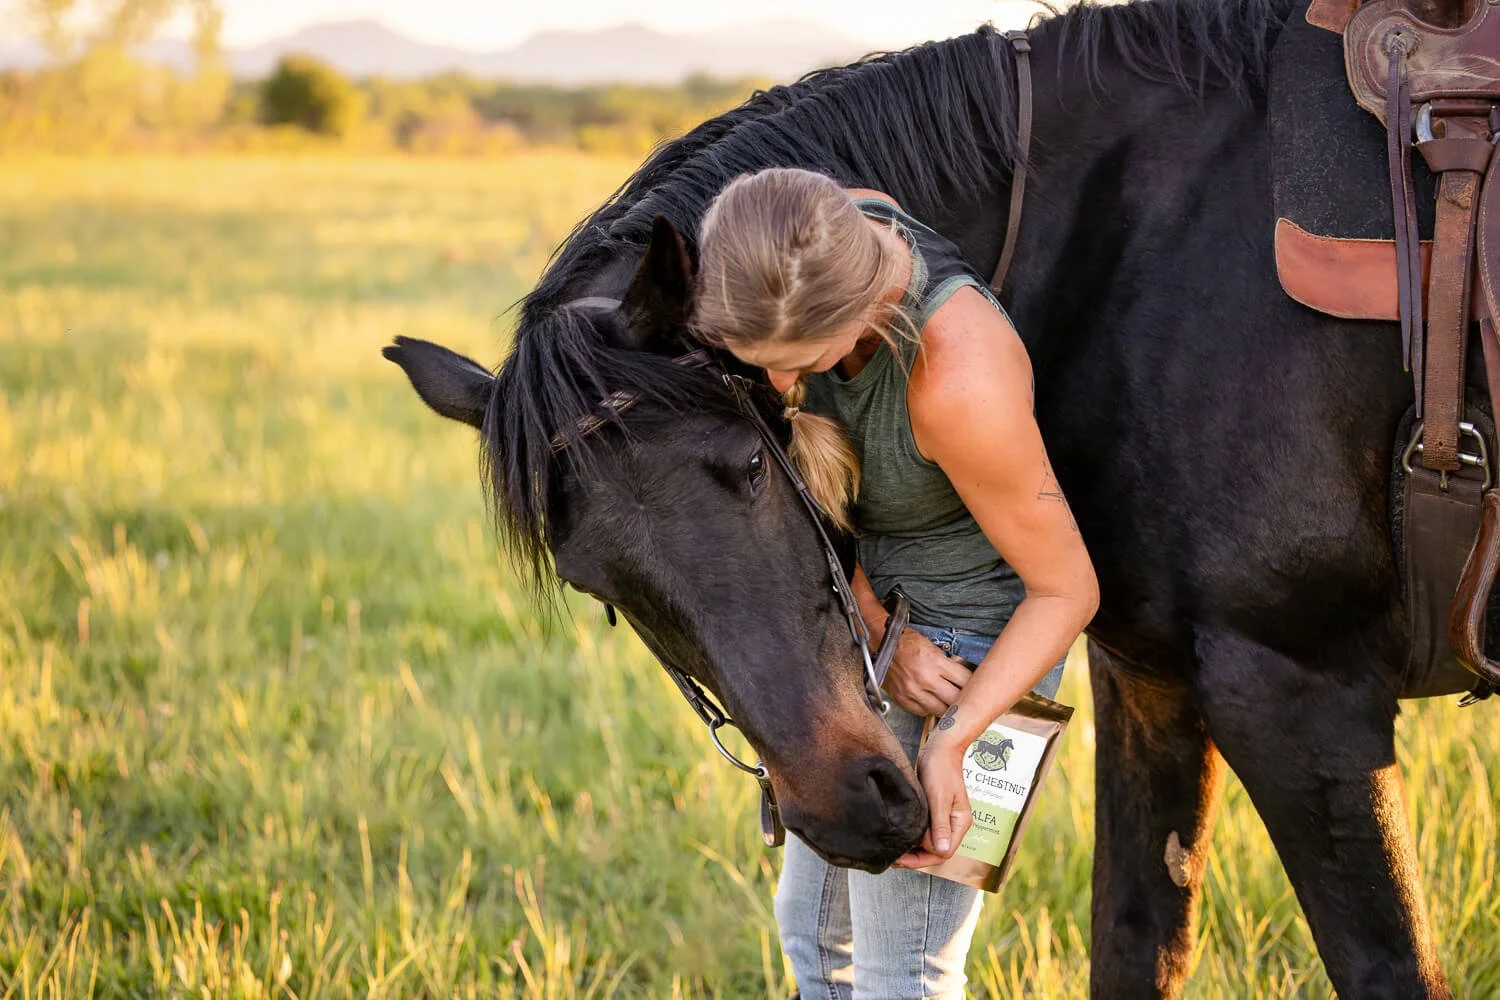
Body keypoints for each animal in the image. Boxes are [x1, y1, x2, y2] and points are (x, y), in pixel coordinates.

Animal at [384, 0, 1475, 993]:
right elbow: (1137, 942)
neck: (1139, 249)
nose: (852, 811)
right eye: (597, 589)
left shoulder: (1299, 692)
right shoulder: (1154, 676)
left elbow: (1393, 968)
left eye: (748, 468)